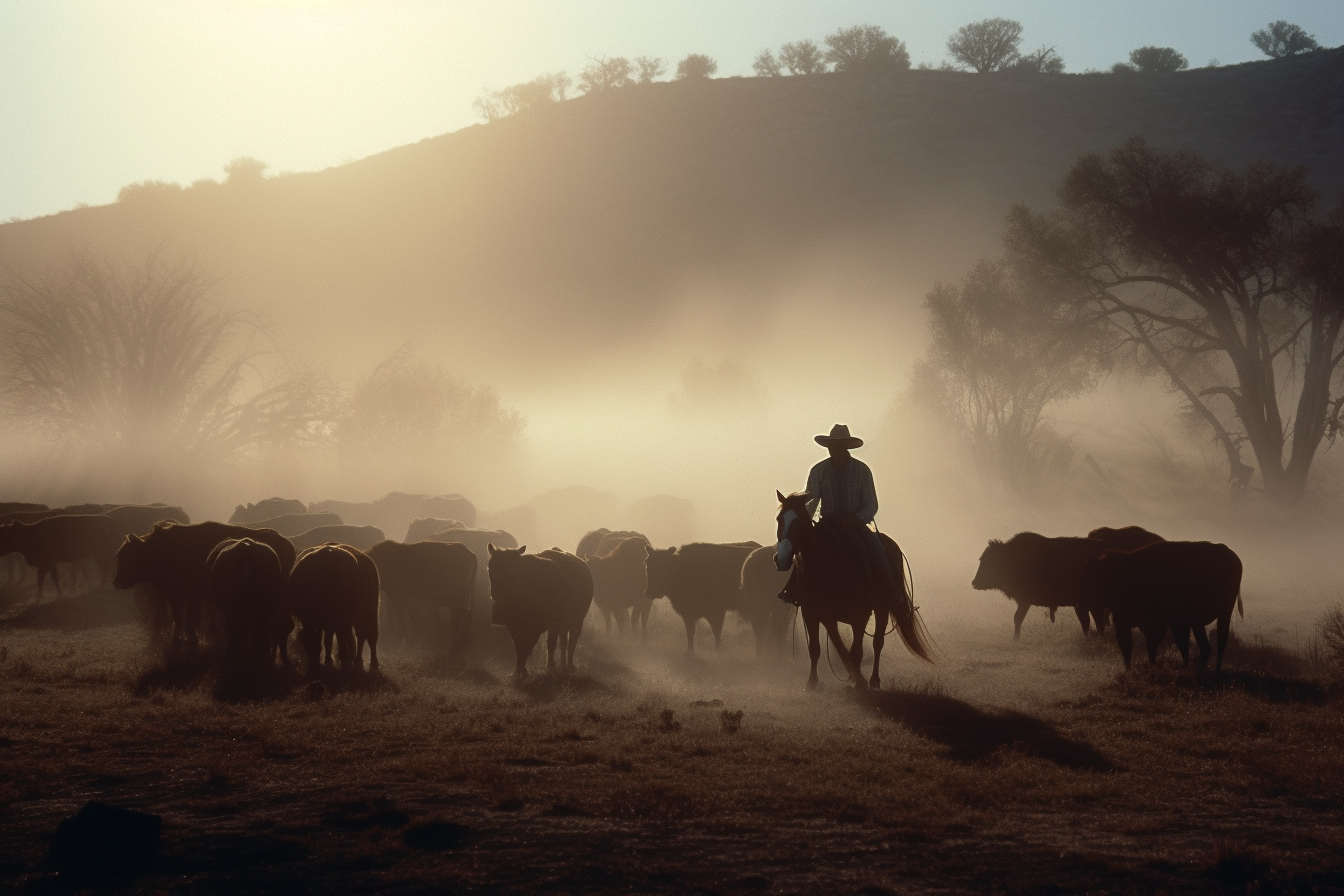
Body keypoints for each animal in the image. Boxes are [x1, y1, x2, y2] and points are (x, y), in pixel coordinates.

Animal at [114, 521, 295, 647]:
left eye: (125, 555)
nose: (116, 582)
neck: (159, 549)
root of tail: (288, 544)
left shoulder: (178, 596)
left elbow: (181, 618)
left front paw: (180, 640)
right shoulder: (191, 597)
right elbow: (189, 618)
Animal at [483, 542, 588, 677]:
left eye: (513, 569)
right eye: (490, 567)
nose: (496, 594)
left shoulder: (536, 627)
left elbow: (527, 647)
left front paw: (523, 672)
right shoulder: (513, 625)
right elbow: (518, 647)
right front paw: (518, 672)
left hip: (576, 621)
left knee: (570, 643)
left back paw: (565, 666)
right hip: (560, 624)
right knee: (560, 642)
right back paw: (559, 665)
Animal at [779, 494, 935, 693]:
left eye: (799, 522)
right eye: (779, 519)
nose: (780, 558)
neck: (829, 567)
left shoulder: (859, 615)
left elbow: (856, 651)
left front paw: (859, 681)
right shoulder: (812, 612)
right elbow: (816, 648)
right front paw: (812, 683)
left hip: (882, 608)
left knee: (877, 643)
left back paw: (874, 681)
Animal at [1075, 540, 1241, 671]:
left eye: (1087, 578)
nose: (1079, 603)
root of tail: (1231, 556)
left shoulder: (1161, 623)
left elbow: (1155, 644)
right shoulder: (1124, 622)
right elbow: (1128, 646)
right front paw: (1130, 670)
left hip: (1223, 614)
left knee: (1219, 640)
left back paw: (1215, 669)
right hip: (1199, 621)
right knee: (1206, 646)